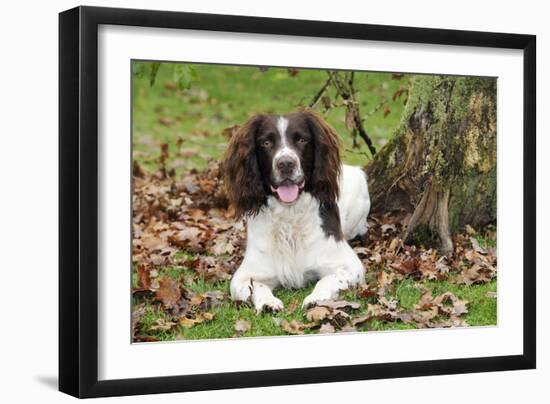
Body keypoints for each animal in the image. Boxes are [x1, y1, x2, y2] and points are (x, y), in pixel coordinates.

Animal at [223, 109, 370, 310]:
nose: (286, 164)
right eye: (266, 142)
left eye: (301, 140)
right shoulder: (244, 275)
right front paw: (268, 303)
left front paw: (317, 299)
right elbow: (256, 286)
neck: (289, 215)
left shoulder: (349, 265)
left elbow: (327, 279)